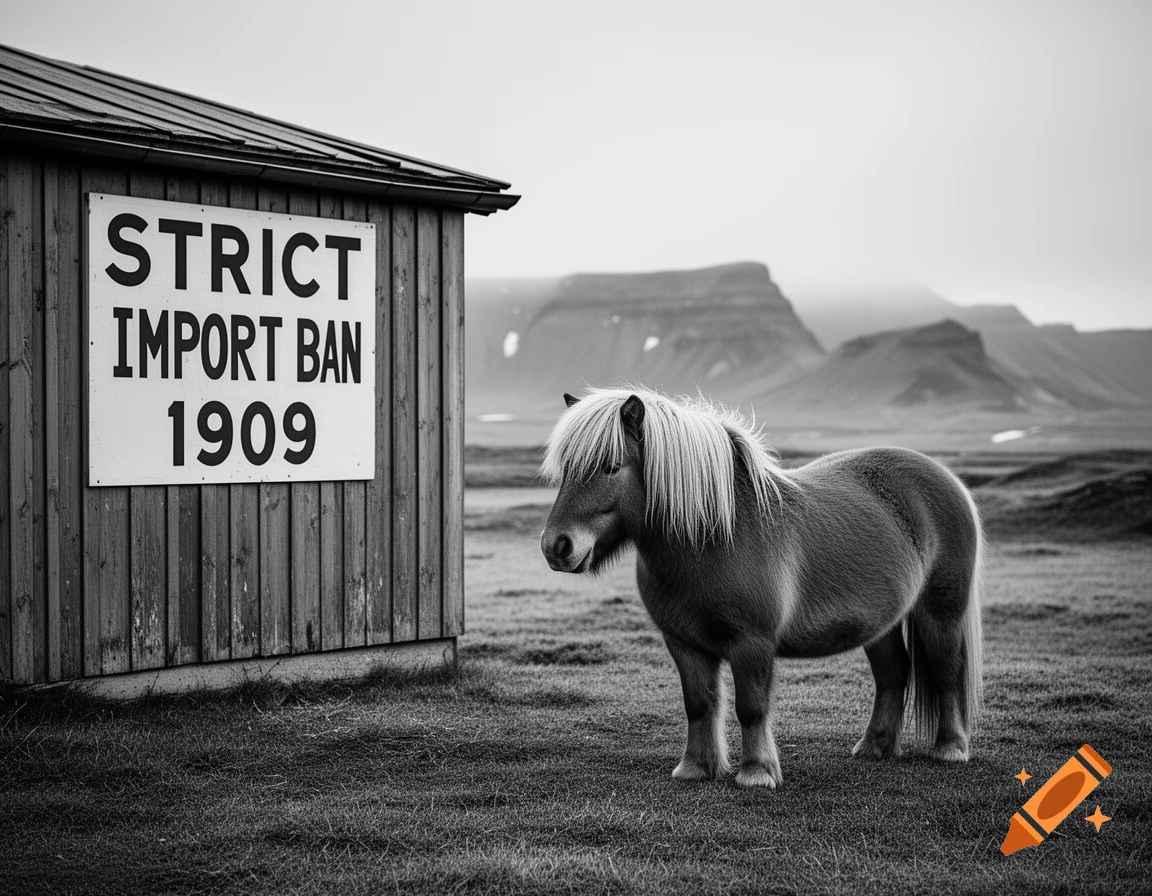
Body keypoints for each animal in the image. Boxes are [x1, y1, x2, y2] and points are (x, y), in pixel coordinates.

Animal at [539, 386, 983, 789]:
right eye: (566, 469)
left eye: (611, 467)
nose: (556, 546)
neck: (714, 536)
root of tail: (948, 480)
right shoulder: (683, 643)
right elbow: (698, 704)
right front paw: (696, 768)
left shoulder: (752, 643)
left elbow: (751, 707)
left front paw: (757, 773)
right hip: (881, 625)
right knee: (893, 674)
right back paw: (874, 746)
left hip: (941, 612)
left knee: (945, 671)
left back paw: (950, 748)